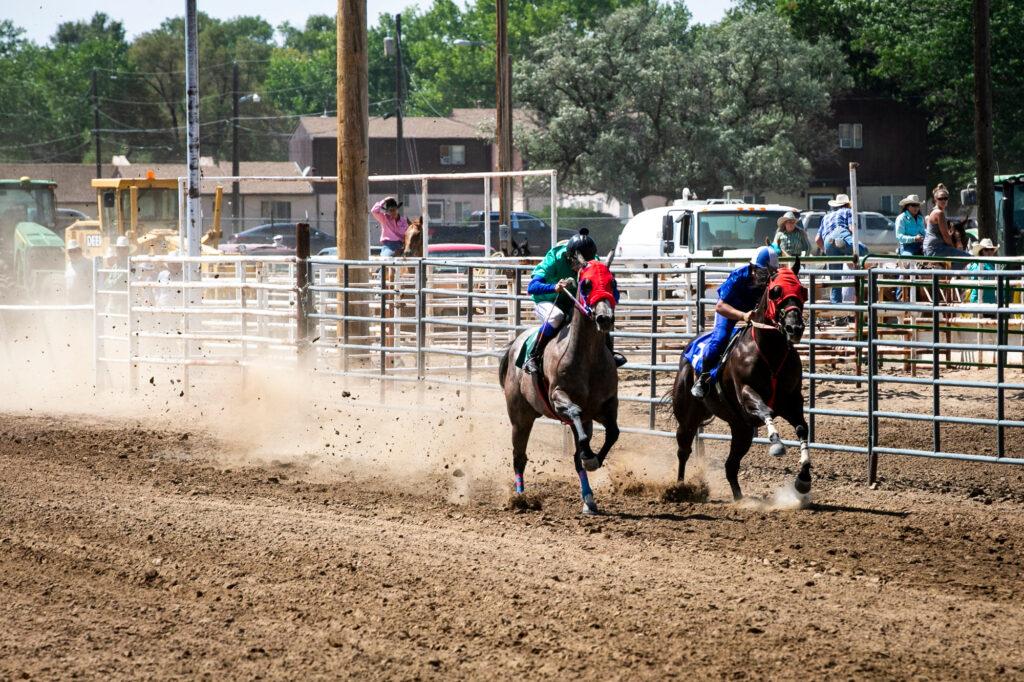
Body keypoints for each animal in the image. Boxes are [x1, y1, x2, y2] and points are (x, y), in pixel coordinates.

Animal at [499, 258, 618, 512]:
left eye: (612, 282)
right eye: (586, 284)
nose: (604, 318)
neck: (587, 358)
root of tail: (516, 343)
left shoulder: (608, 404)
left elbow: (613, 433)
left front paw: (594, 458)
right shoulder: (558, 397)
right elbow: (574, 412)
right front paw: (590, 456)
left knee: (576, 454)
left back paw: (588, 498)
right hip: (520, 418)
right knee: (519, 457)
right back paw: (520, 497)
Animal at [675, 258, 811, 501]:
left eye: (802, 291)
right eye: (776, 291)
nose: (794, 328)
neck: (770, 353)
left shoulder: (791, 401)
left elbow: (802, 428)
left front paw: (803, 479)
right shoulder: (747, 394)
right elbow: (765, 410)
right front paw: (776, 444)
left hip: (741, 429)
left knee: (731, 465)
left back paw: (739, 498)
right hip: (688, 415)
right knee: (684, 449)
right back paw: (680, 487)